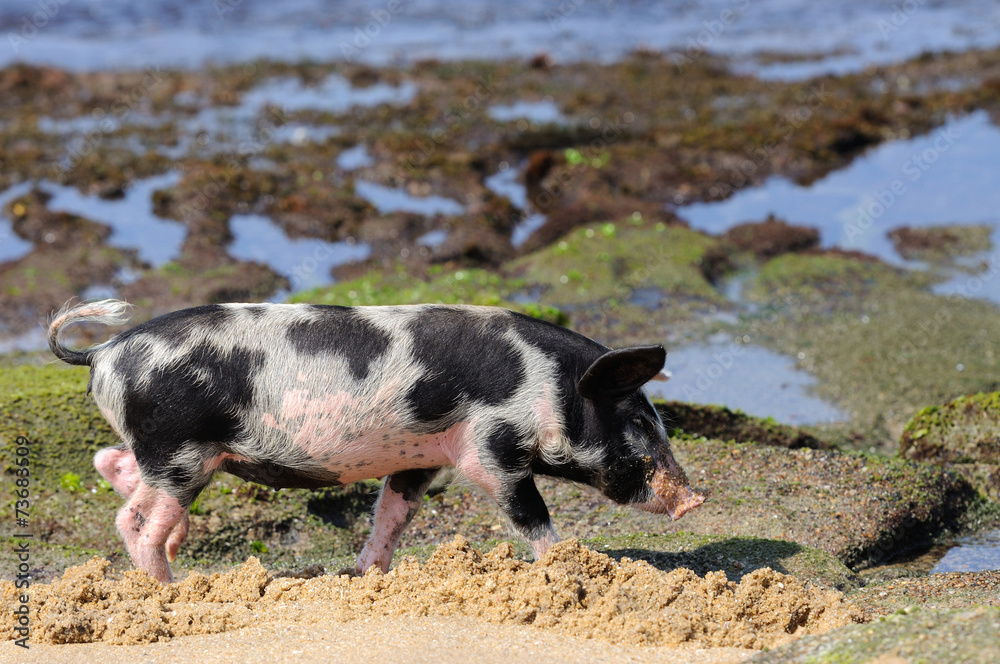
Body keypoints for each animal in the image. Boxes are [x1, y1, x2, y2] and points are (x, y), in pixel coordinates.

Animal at [47, 300, 704, 580]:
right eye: (639, 424)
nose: (694, 499)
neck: (543, 384)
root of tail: (104, 352)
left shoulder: (421, 457)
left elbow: (393, 513)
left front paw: (369, 576)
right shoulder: (489, 449)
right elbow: (529, 515)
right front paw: (568, 564)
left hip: (170, 453)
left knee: (112, 463)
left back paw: (176, 550)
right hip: (179, 449)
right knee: (134, 521)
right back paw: (173, 587)